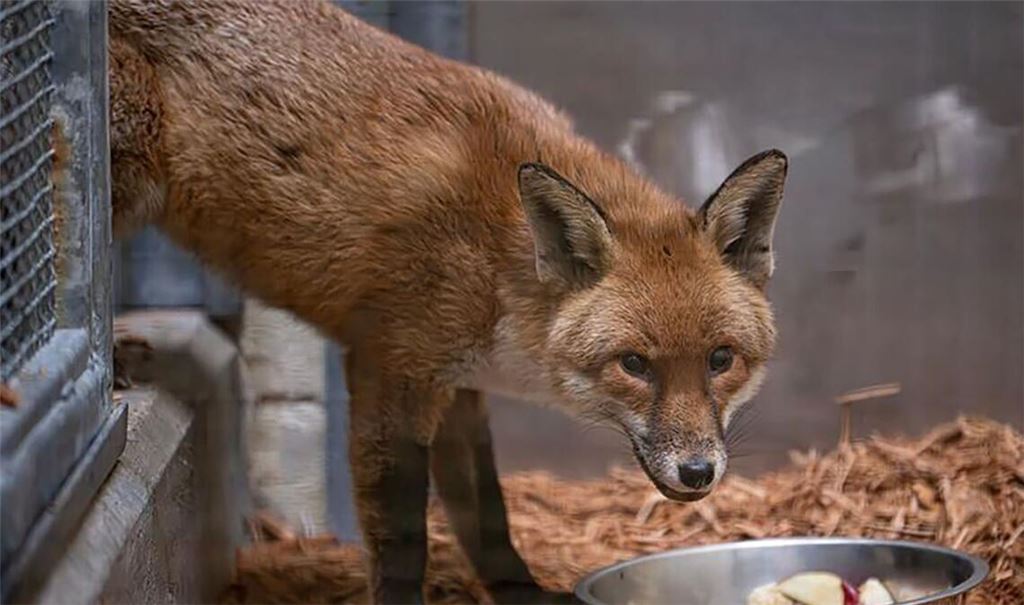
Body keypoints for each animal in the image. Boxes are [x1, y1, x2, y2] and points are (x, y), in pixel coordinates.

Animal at [107, 0, 787, 603]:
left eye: (721, 360)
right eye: (634, 365)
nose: (698, 472)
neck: (497, 265)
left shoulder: (460, 388)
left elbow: (486, 519)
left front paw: (524, 596)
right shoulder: (390, 370)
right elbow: (404, 540)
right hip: (128, 171)